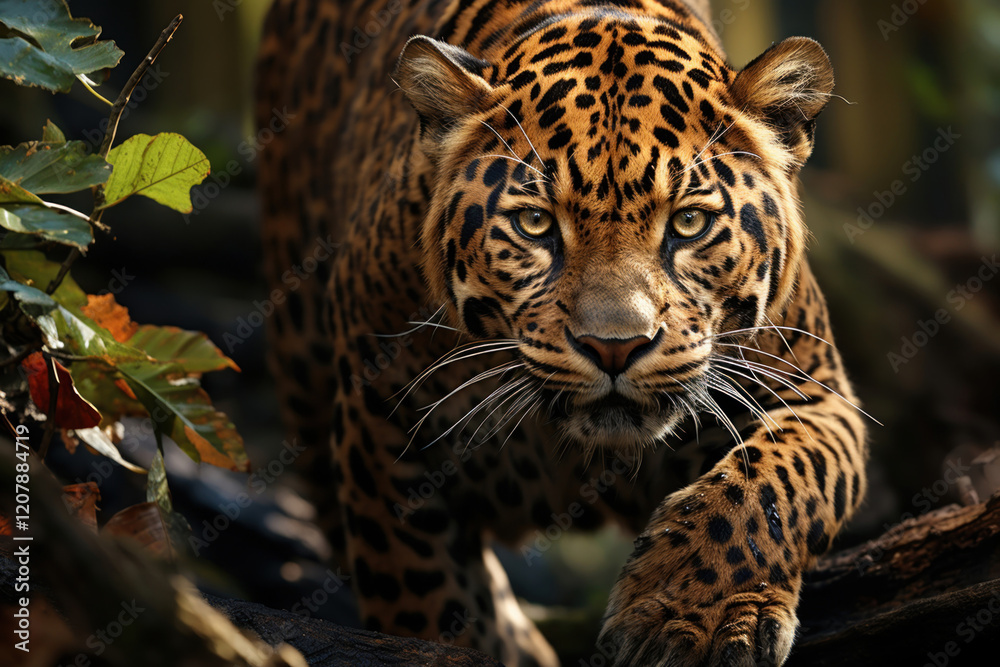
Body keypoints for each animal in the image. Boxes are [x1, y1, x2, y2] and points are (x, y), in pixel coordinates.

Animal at [255, 0, 869, 665]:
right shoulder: (383, 432)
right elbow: (425, 601)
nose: (615, 347)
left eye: (688, 222)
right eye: (534, 223)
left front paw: (686, 618)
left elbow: (769, 484)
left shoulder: (815, 393)